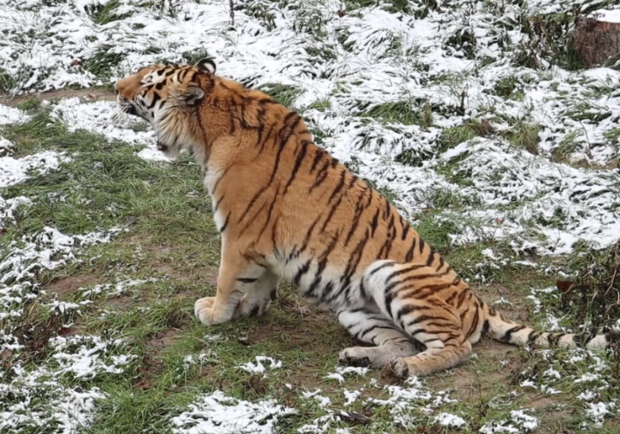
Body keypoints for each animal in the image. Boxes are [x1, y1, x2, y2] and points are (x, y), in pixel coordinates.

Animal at [115, 59, 616, 378]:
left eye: (148, 81)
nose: (116, 87)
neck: (209, 131)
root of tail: (476, 302)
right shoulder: (263, 246)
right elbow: (258, 281)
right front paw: (249, 308)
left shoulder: (239, 233)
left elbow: (226, 278)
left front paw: (216, 313)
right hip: (354, 308)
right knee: (403, 341)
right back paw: (362, 358)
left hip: (392, 276)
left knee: (456, 347)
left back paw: (404, 370)